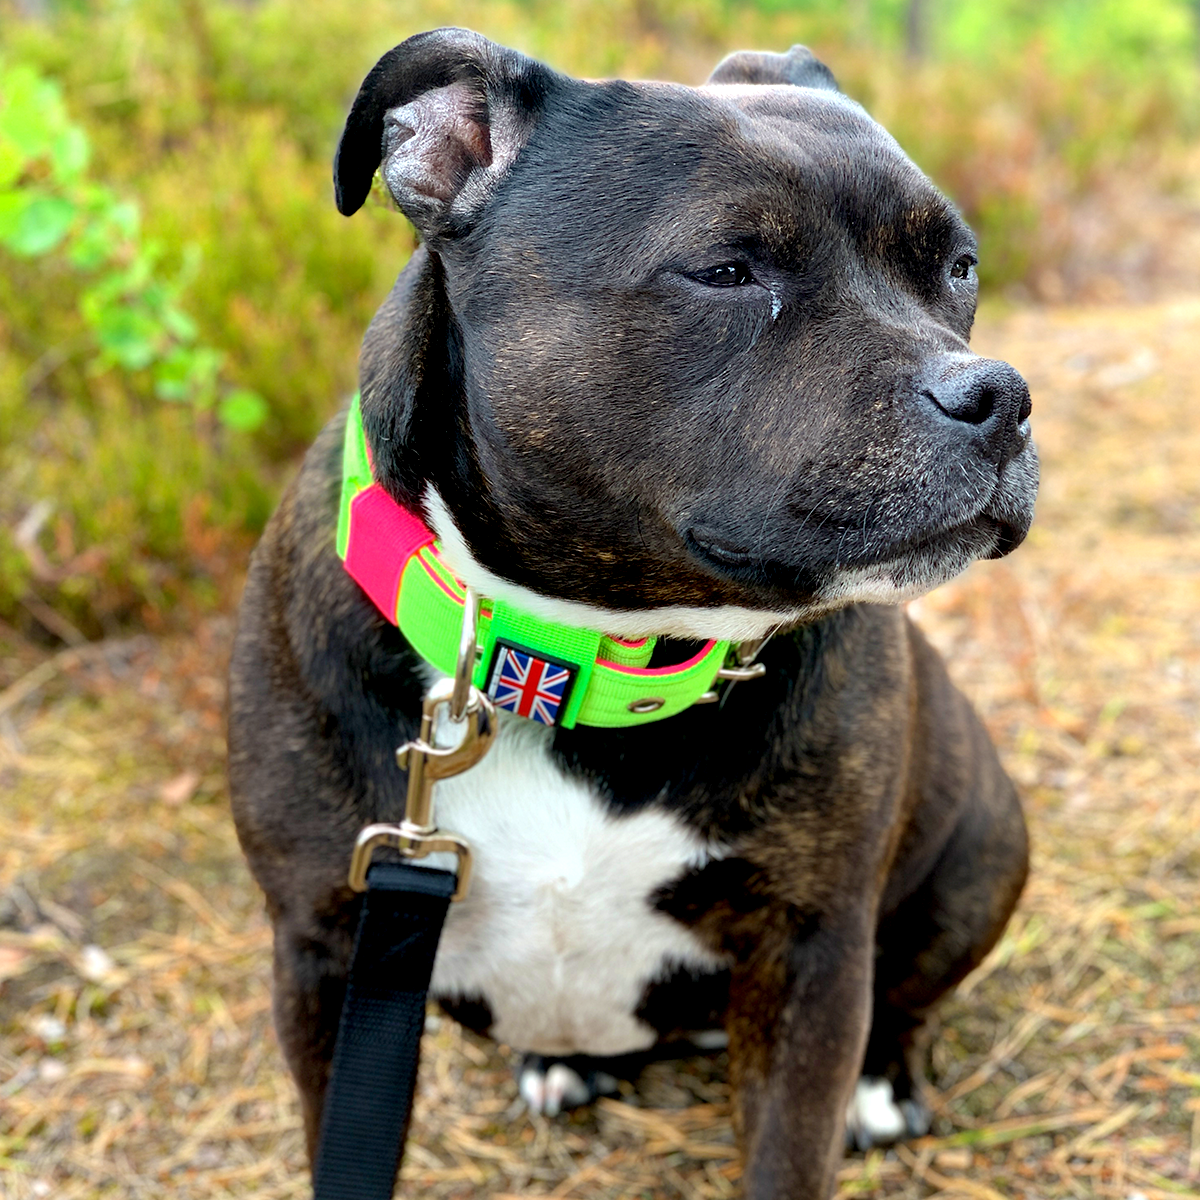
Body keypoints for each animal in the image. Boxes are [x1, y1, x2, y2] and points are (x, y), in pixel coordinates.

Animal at [229, 28, 1036, 1200]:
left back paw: (883, 1084)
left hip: (986, 848)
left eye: (959, 268)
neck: (571, 657)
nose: (999, 396)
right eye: (728, 270)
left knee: (909, 991)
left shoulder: (812, 953)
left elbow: (787, 1154)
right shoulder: (330, 952)